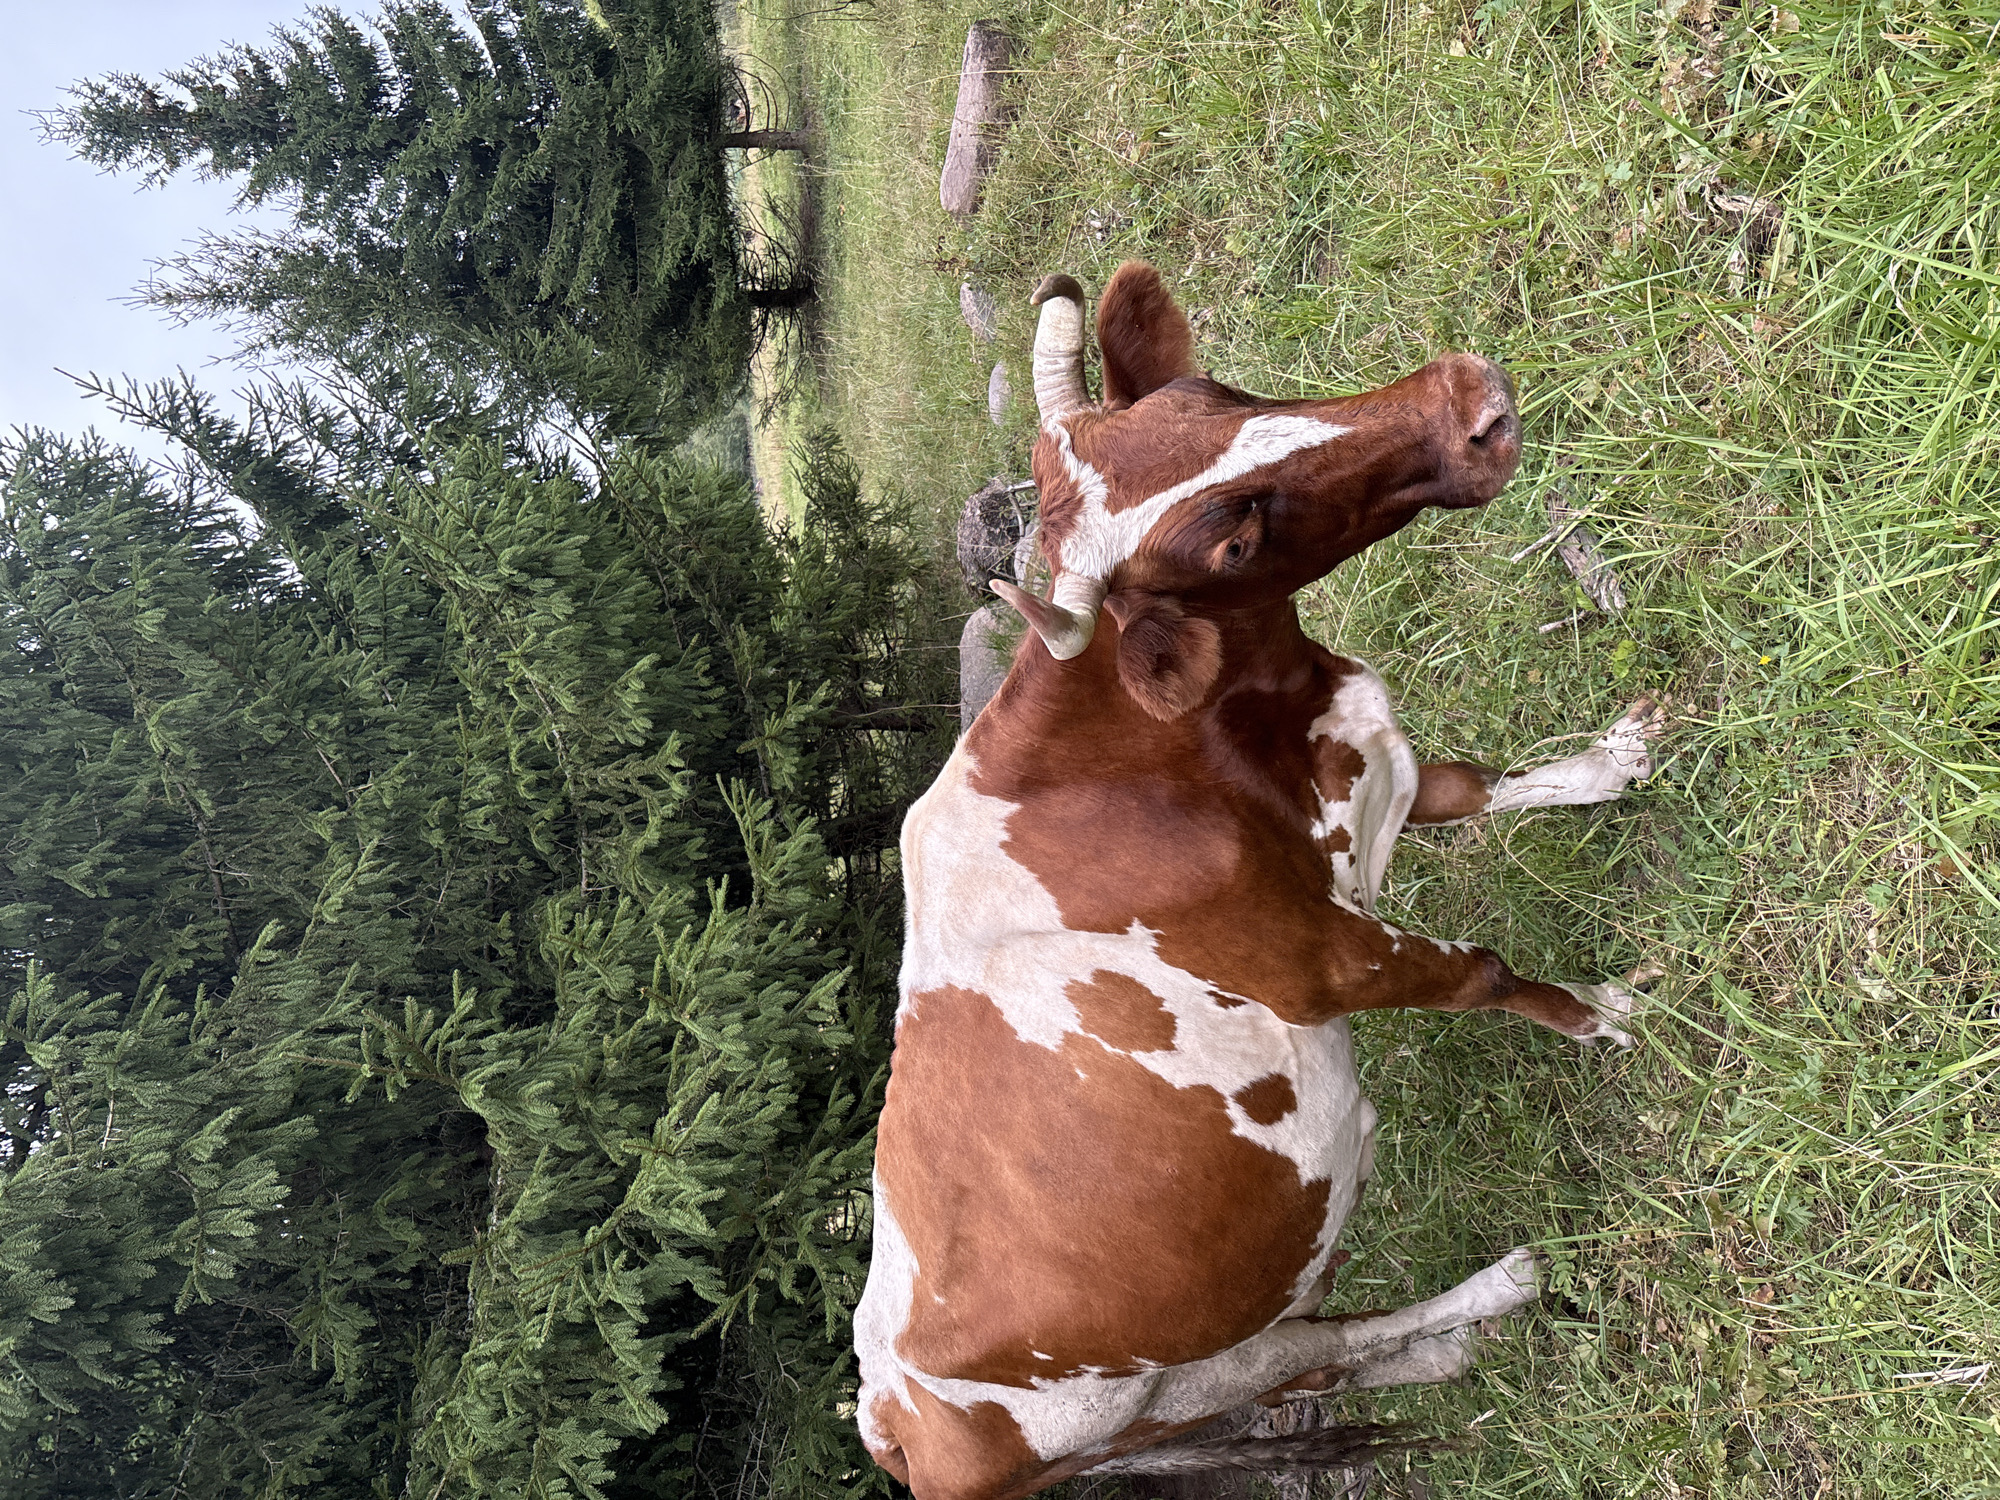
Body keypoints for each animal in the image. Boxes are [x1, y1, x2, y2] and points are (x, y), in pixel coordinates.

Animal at [853, 263, 1661, 1500]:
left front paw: (1606, 766)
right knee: (1317, 1353)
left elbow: (1479, 785)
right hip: (1159, 1396)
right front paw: (1608, 1014)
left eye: (1211, 395)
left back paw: (1457, 1337)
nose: (1469, 404)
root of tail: (885, 1417)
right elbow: (1479, 973)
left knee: (1321, 1344)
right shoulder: (1322, 957)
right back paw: (1494, 1292)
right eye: (1226, 546)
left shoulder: (1368, 779)